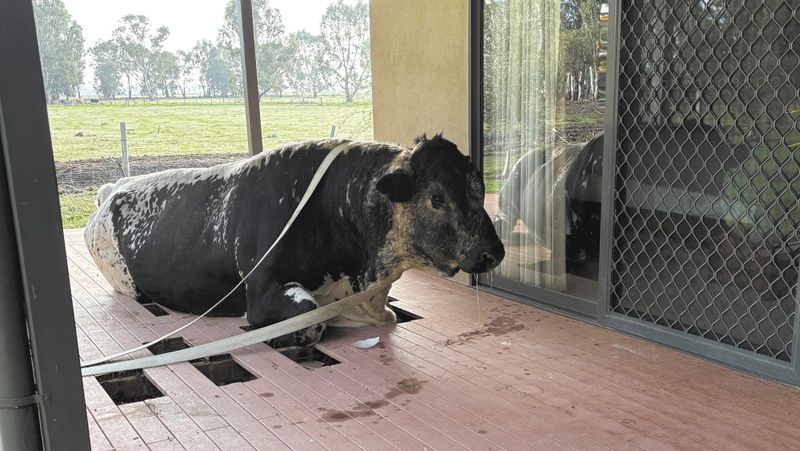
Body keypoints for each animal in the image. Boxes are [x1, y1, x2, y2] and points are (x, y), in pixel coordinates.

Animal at [85, 134, 505, 348]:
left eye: (480, 188)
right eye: (437, 197)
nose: (494, 253)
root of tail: (112, 188)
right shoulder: (261, 293)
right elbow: (310, 319)